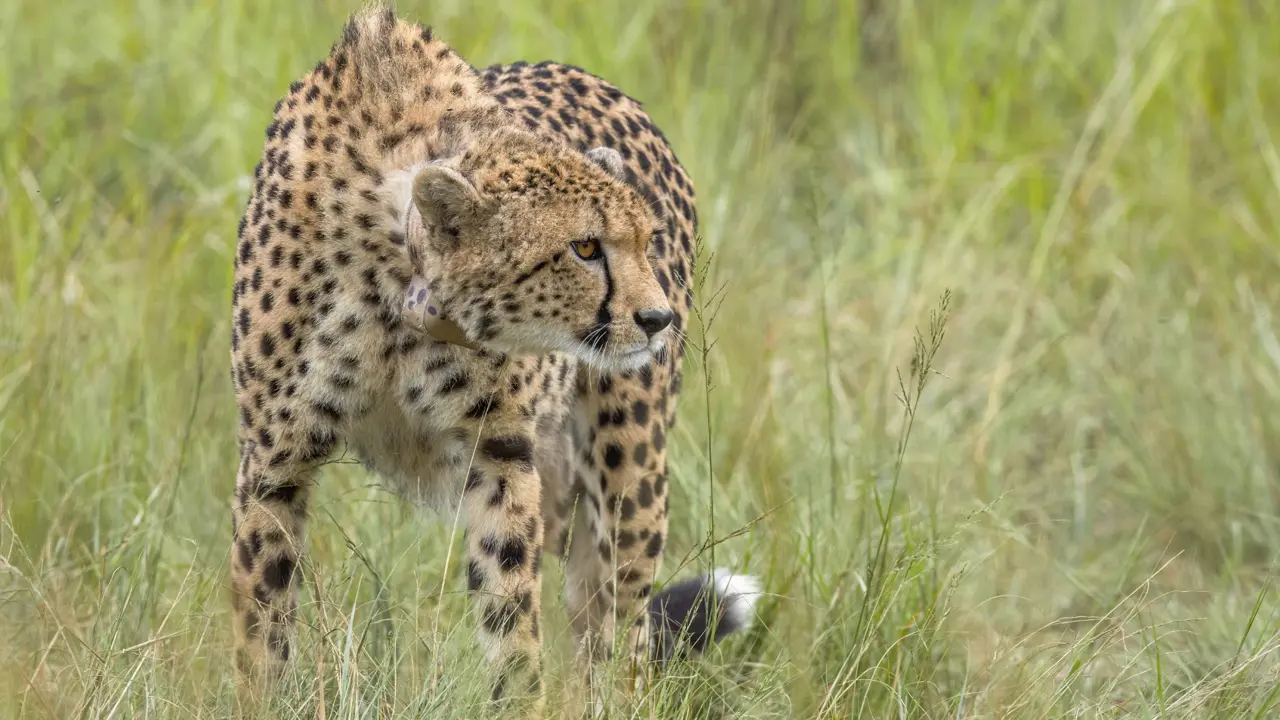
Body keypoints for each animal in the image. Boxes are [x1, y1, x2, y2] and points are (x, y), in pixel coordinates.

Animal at [228, 5, 760, 712]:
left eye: (645, 241)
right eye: (585, 247)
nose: (657, 319)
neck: (400, 284)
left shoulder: (502, 455)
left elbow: (511, 613)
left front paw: (520, 700)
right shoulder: (275, 457)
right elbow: (261, 623)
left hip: (627, 468)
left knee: (614, 621)